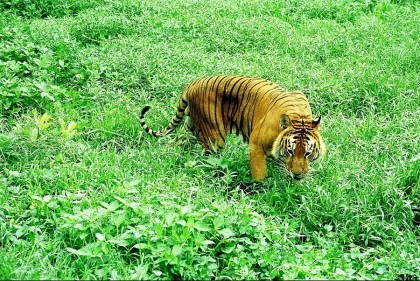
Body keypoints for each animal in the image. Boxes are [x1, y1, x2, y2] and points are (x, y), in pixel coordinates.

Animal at [139, 74, 326, 180]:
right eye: (291, 151)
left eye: (307, 153)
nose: (298, 174)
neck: (300, 117)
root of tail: (193, 84)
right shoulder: (255, 146)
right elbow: (260, 174)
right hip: (214, 139)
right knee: (209, 161)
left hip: (189, 128)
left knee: (174, 144)